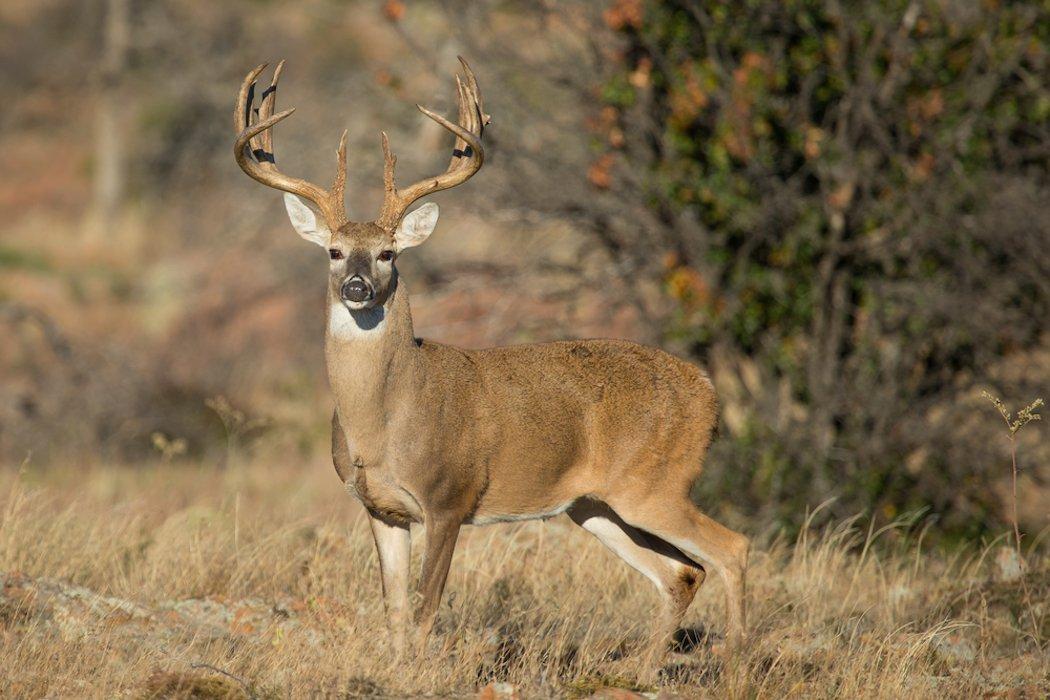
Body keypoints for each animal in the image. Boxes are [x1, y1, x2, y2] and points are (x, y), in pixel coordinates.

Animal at [234, 57, 751, 654]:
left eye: (388, 253)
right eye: (335, 252)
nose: (358, 287)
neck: (385, 417)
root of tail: (709, 392)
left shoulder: (449, 497)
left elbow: (425, 609)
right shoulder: (381, 509)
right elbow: (393, 611)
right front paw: (393, 664)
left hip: (657, 483)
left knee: (732, 548)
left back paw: (736, 660)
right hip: (595, 504)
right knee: (683, 573)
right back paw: (638, 667)